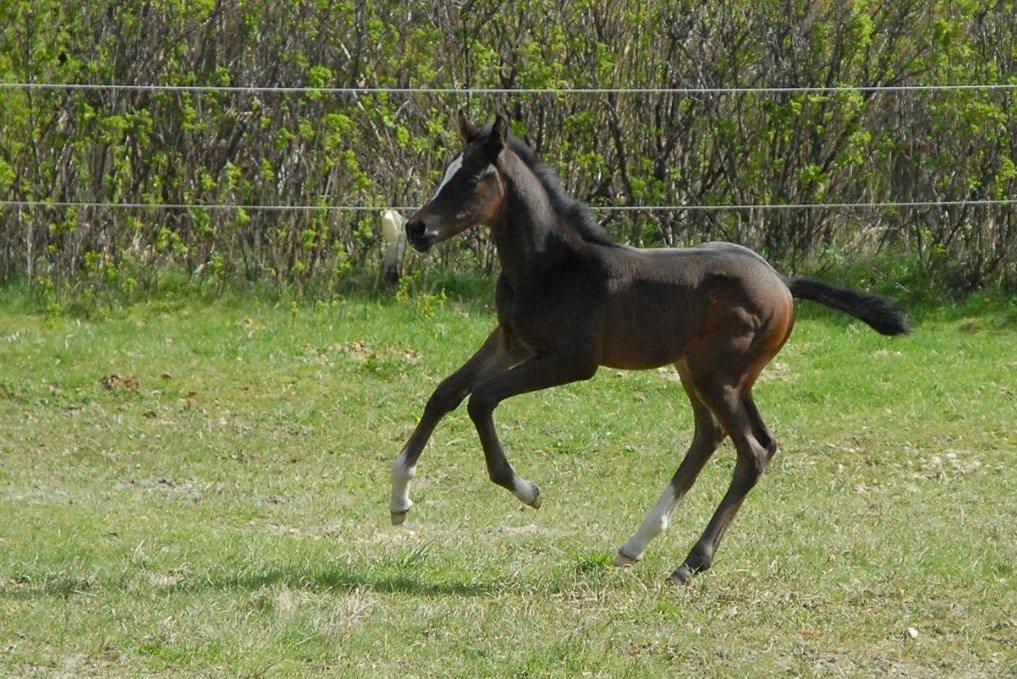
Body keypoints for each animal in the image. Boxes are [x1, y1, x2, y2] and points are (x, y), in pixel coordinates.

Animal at [390, 112, 907, 585]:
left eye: (472, 179)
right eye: (446, 171)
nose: (416, 228)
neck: (550, 265)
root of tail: (783, 281)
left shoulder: (570, 361)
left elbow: (481, 399)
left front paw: (526, 490)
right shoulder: (511, 341)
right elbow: (445, 392)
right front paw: (399, 496)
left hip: (717, 376)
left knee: (752, 451)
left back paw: (690, 563)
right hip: (707, 373)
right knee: (716, 436)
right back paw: (635, 545)